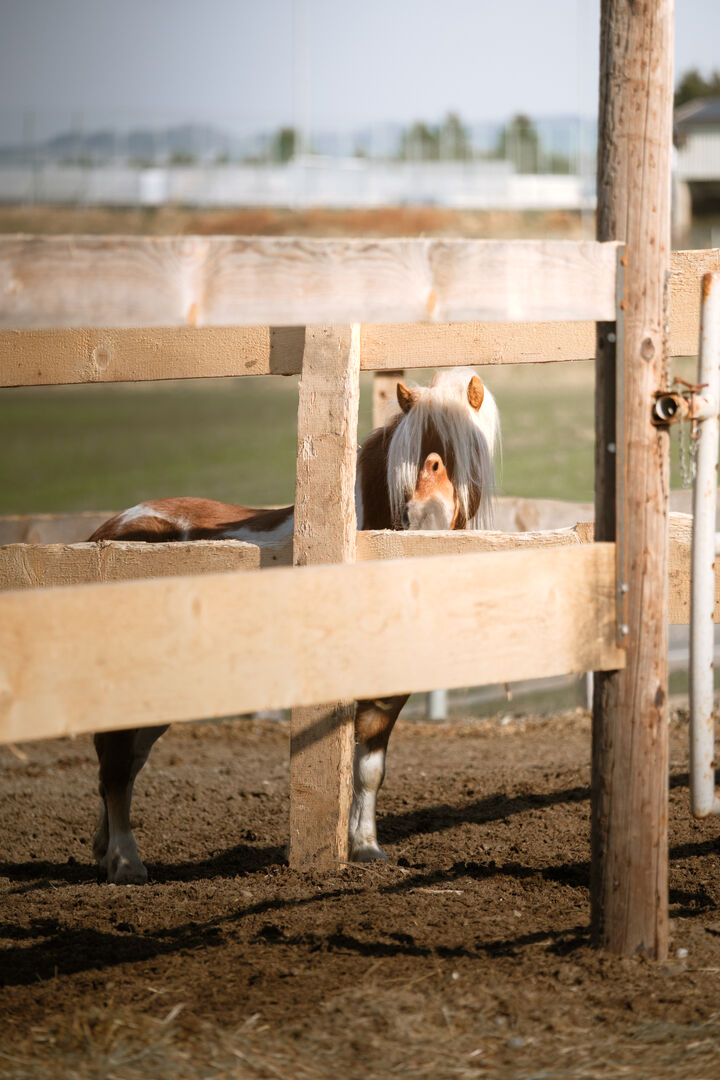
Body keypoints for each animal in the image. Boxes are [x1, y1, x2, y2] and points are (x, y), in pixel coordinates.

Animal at [89, 367, 500, 883]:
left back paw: (105, 851)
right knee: (117, 763)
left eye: (463, 448)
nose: (422, 520)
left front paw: (366, 848)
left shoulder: (389, 689)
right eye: (409, 457)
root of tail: (108, 533)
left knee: (123, 761)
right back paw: (126, 862)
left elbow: (369, 768)